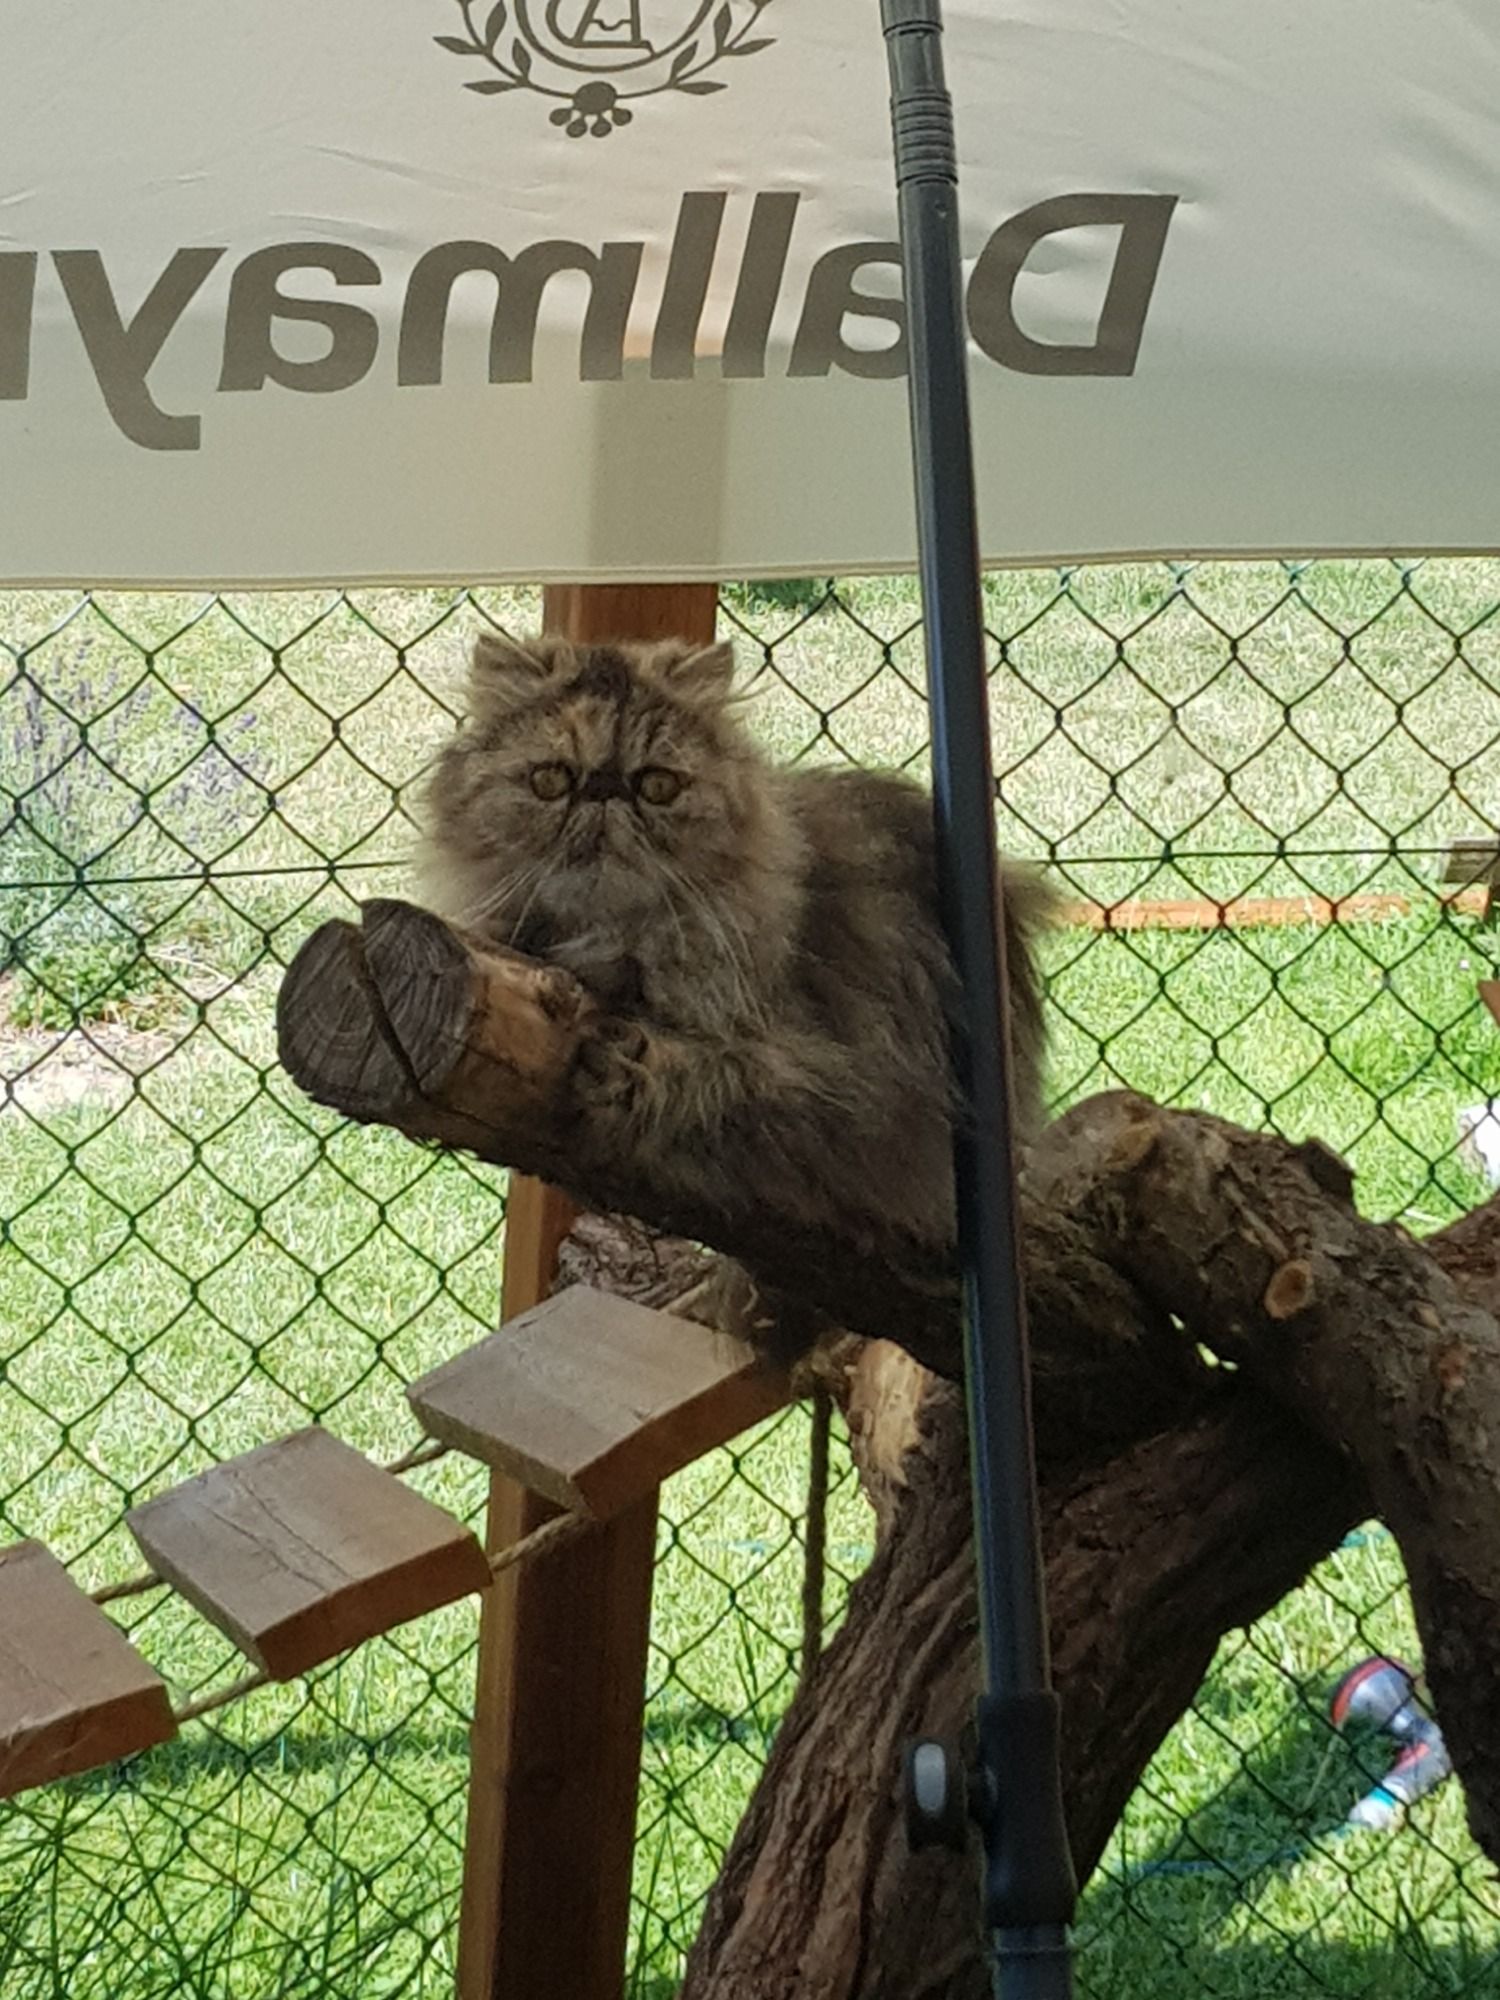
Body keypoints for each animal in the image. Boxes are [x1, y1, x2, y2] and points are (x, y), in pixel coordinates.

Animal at [418, 628, 1052, 1274]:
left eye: (657, 786)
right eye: (551, 780)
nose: (603, 792)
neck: (606, 934)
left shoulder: (847, 1087)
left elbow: (724, 1076)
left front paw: (633, 1068)